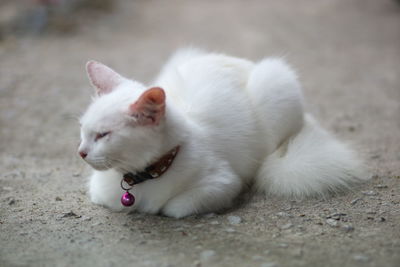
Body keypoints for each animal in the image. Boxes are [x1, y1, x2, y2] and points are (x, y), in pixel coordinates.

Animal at [78, 48, 368, 218]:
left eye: (103, 135)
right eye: (83, 130)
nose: (81, 153)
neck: (144, 176)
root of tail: (240, 61)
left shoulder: (223, 183)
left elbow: (174, 208)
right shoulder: (100, 192)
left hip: (275, 84)